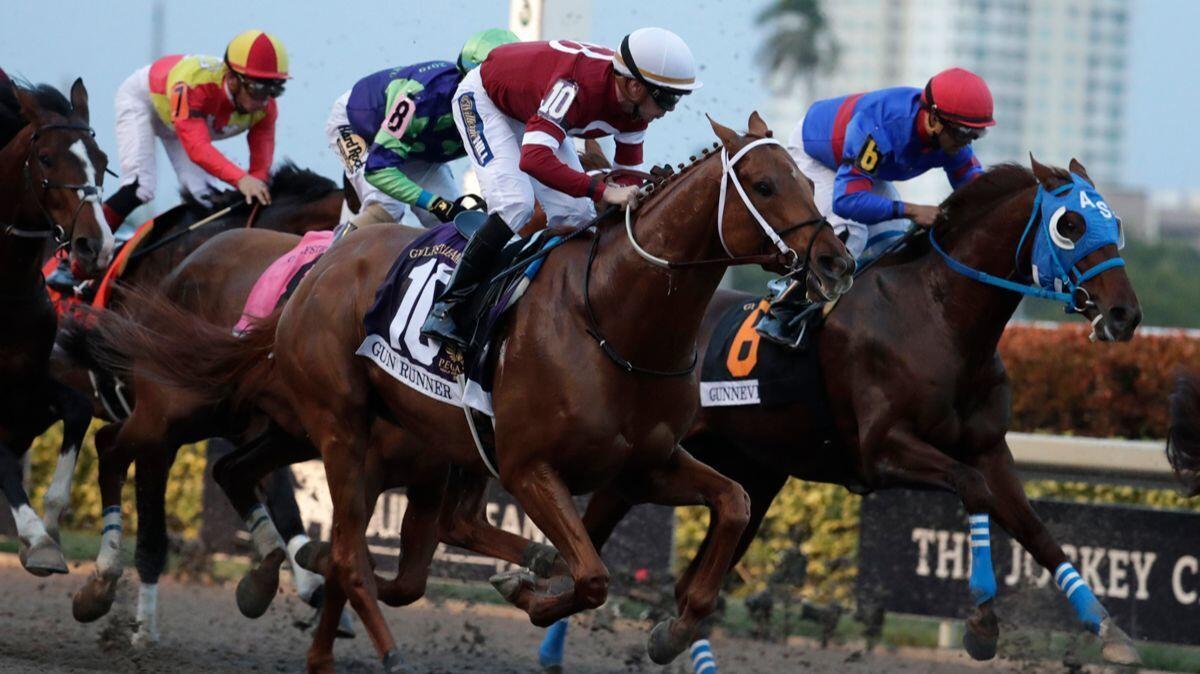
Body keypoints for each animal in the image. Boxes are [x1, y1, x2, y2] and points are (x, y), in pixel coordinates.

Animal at [93, 112, 859, 666]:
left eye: (806, 180)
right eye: (765, 186)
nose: (835, 260)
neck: (614, 320)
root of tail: (316, 273)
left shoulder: (646, 463)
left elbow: (732, 503)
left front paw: (673, 628)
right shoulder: (526, 467)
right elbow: (590, 577)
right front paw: (531, 588)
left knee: (292, 508)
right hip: (327, 427)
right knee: (321, 539)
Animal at [549, 154, 1137, 662]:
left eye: (1114, 223)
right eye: (1070, 225)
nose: (1125, 314)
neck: (939, 318)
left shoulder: (990, 448)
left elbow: (1035, 528)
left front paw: (1108, 629)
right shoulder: (883, 449)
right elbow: (973, 489)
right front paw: (982, 622)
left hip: (753, 473)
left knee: (688, 573)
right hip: (658, 457)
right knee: (597, 525)